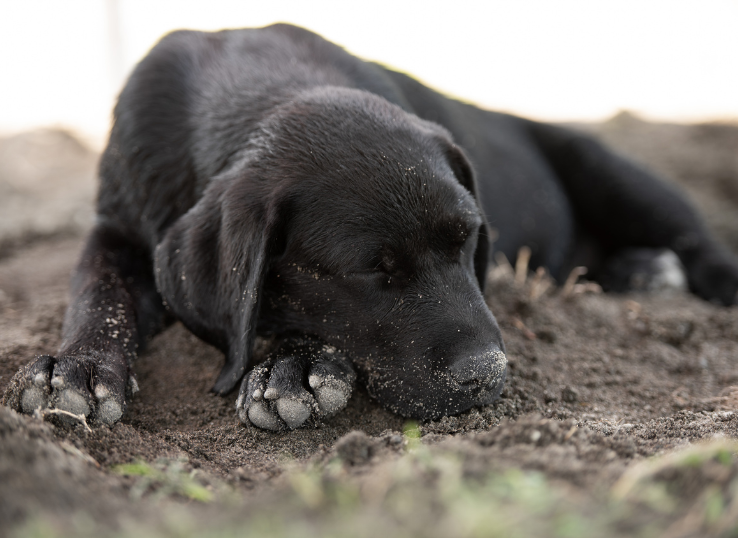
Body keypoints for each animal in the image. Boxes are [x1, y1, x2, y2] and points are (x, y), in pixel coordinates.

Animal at [5, 25, 736, 430]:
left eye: (469, 242)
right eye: (372, 271)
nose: (488, 375)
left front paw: (293, 365)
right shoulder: (117, 227)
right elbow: (98, 292)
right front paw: (76, 368)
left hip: (609, 168)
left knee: (698, 241)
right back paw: (636, 268)